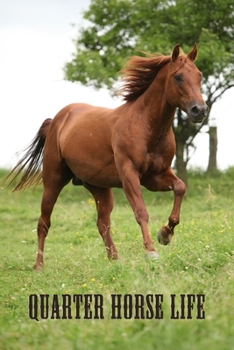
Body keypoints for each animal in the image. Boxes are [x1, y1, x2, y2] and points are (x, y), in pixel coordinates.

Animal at [3, 44, 208, 270]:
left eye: (199, 76)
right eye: (178, 77)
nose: (200, 110)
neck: (146, 126)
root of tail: (58, 120)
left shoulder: (156, 176)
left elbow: (180, 187)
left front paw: (165, 234)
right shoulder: (129, 175)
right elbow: (141, 211)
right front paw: (151, 251)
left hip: (100, 189)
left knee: (102, 223)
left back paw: (115, 260)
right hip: (53, 182)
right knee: (43, 223)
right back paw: (39, 265)